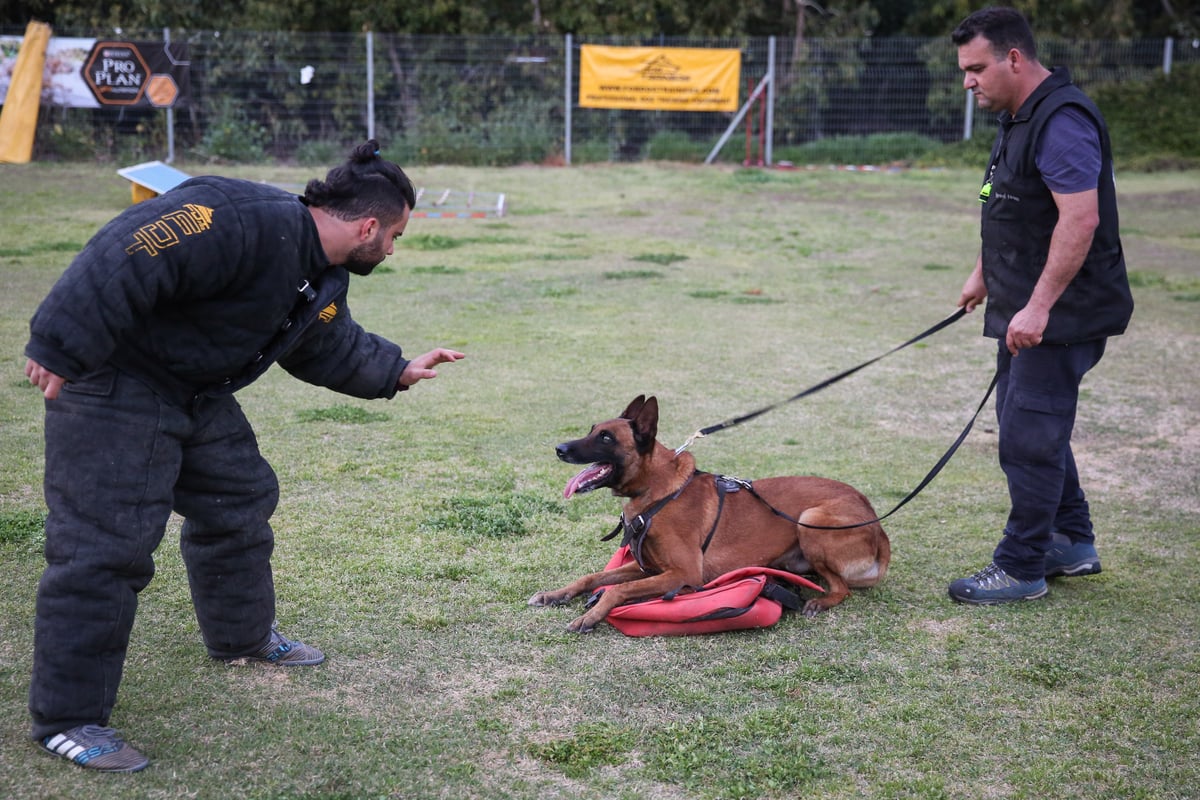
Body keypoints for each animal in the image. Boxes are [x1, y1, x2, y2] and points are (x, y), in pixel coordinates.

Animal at [528, 393, 892, 633]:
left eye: (605, 437)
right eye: (591, 429)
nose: (559, 449)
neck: (658, 489)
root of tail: (878, 526)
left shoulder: (683, 573)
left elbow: (616, 590)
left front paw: (591, 615)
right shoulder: (648, 568)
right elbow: (592, 578)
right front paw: (555, 595)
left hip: (811, 519)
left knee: (842, 588)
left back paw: (820, 601)